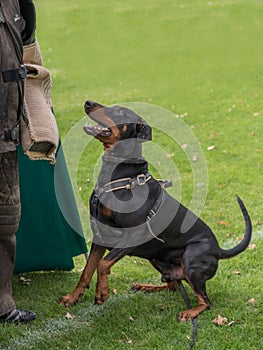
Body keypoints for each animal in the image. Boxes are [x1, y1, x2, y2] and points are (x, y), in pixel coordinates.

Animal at [58, 100, 253, 322]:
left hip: (191, 261)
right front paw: (72, 298)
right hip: (157, 259)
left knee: (205, 301)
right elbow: (87, 270)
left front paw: (102, 292)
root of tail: (219, 250)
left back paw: (189, 312)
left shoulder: (134, 235)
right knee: (172, 285)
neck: (119, 176)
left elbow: (103, 264)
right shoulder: (101, 235)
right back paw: (146, 287)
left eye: (120, 111)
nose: (88, 102)